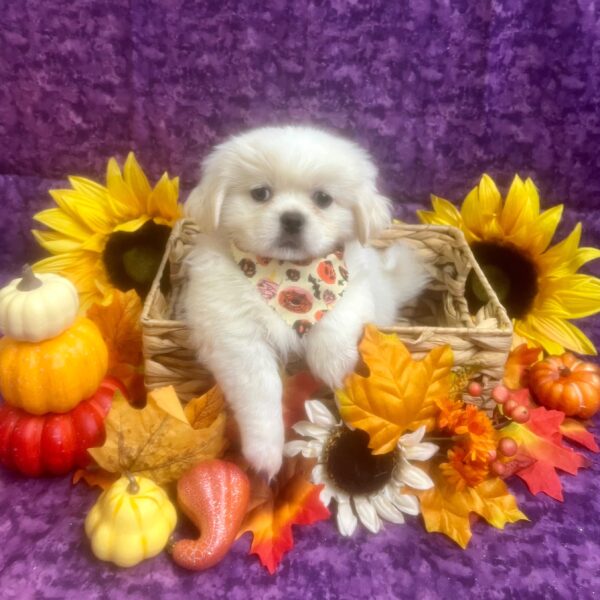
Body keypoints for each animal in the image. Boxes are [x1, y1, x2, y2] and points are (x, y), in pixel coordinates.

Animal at [182, 125, 426, 478]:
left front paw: (336, 368)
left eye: (322, 199)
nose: (292, 218)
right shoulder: (235, 336)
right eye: (260, 194)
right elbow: (261, 392)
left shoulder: (354, 287)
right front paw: (265, 453)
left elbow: (337, 317)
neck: (287, 275)